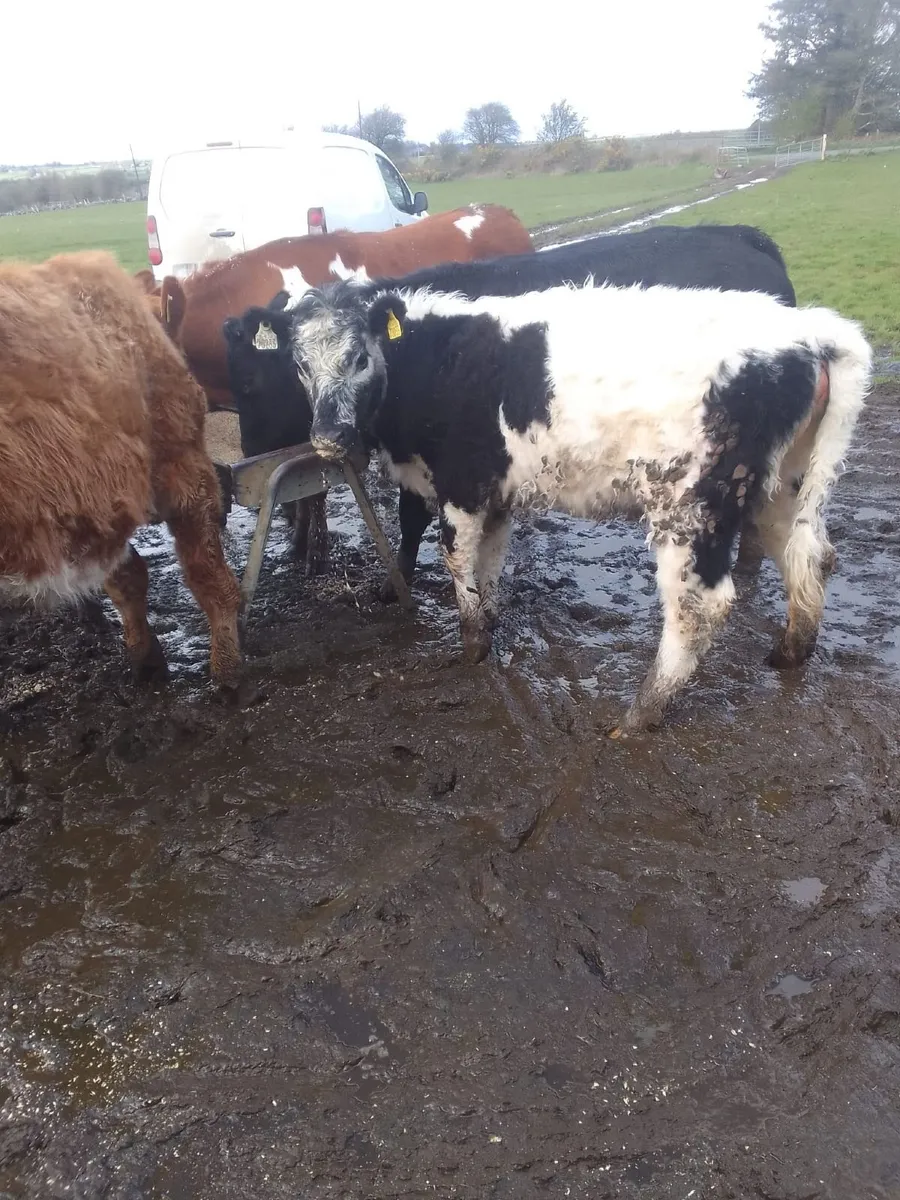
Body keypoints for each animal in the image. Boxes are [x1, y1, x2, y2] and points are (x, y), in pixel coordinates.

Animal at [289, 279, 872, 735]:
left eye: (359, 357)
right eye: (299, 364)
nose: (327, 437)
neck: (437, 363)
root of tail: (811, 331)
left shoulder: (463, 484)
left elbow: (456, 556)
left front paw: (473, 643)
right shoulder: (496, 493)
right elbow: (491, 559)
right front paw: (490, 619)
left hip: (691, 506)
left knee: (698, 605)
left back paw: (641, 713)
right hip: (781, 488)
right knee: (808, 557)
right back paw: (790, 653)